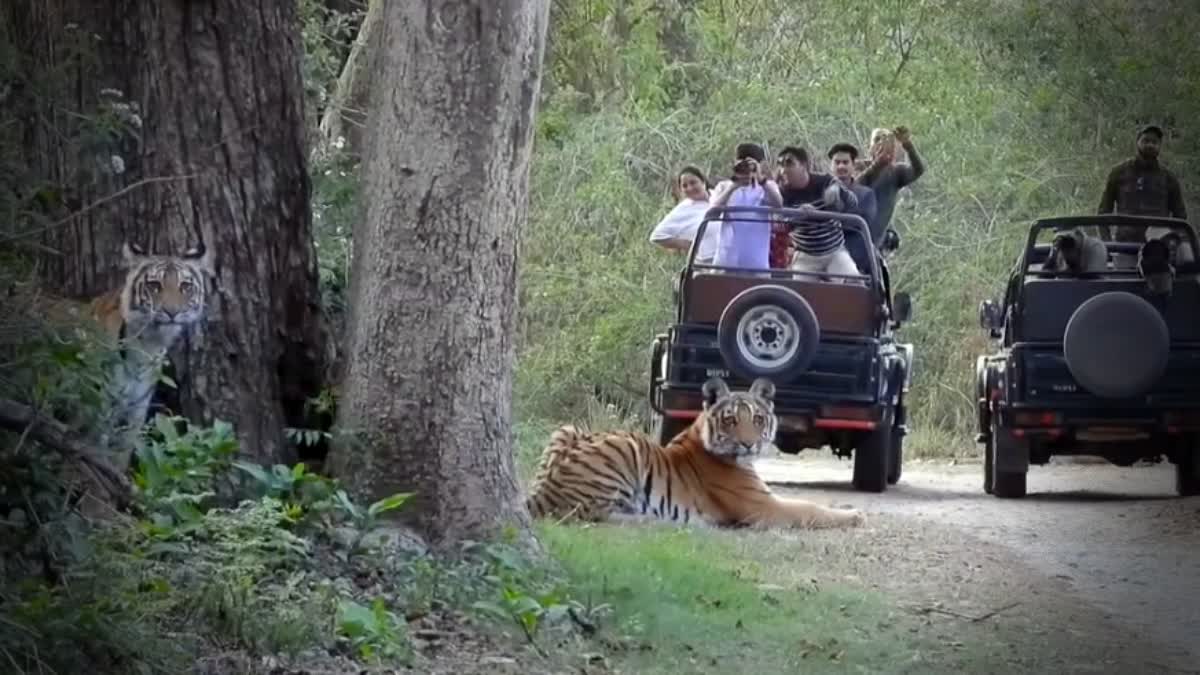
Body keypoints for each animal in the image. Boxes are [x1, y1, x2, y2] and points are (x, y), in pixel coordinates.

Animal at [525, 374, 864, 528]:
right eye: (731, 420)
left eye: (757, 419)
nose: (748, 443)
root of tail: (539, 496)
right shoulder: (763, 506)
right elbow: (809, 508)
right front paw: (856, 515)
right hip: (625, 446)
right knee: (590, 513)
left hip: (566, 430)